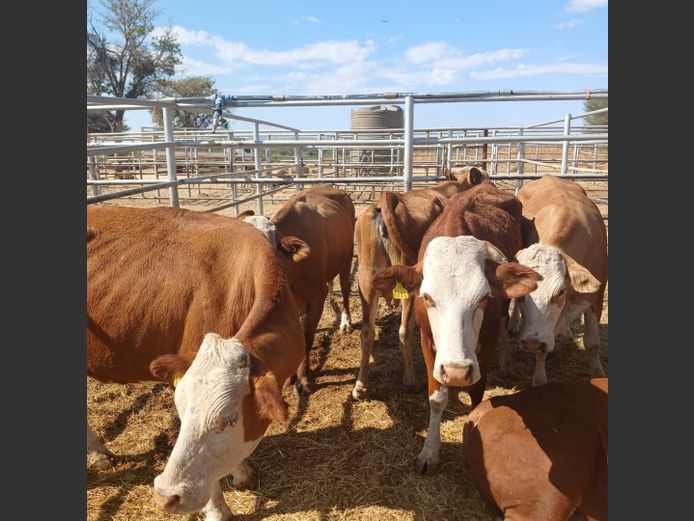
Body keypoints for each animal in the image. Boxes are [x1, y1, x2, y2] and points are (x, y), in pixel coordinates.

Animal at [245, 184, 356, 395]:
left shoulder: (317, 295)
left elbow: (307, 337)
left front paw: (303, 379)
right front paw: (290, 378)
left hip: (347, 259)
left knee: (345, 289)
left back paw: (346, 323)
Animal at [352, 166, 488, 400]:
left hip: (366, 282)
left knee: (367, 333)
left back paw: (361, 385)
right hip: (408, 287)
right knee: (404, 332)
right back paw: (410, 380)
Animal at [370, 181, 542, 474]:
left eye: (482, 298)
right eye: (428, 298)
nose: (456, 371)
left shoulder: (485, 343)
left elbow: (476, 394)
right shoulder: (428, 341)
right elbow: (437, 397)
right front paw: (430, 452)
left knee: (505, 326)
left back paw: (506, 364)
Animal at [508, 175, 608, 385]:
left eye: (560, 292)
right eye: (523, 293)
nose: (531, 343)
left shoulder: (596, 297)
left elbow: (592, 342)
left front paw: (598, 373)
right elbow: (542, 351)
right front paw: (539, 380)